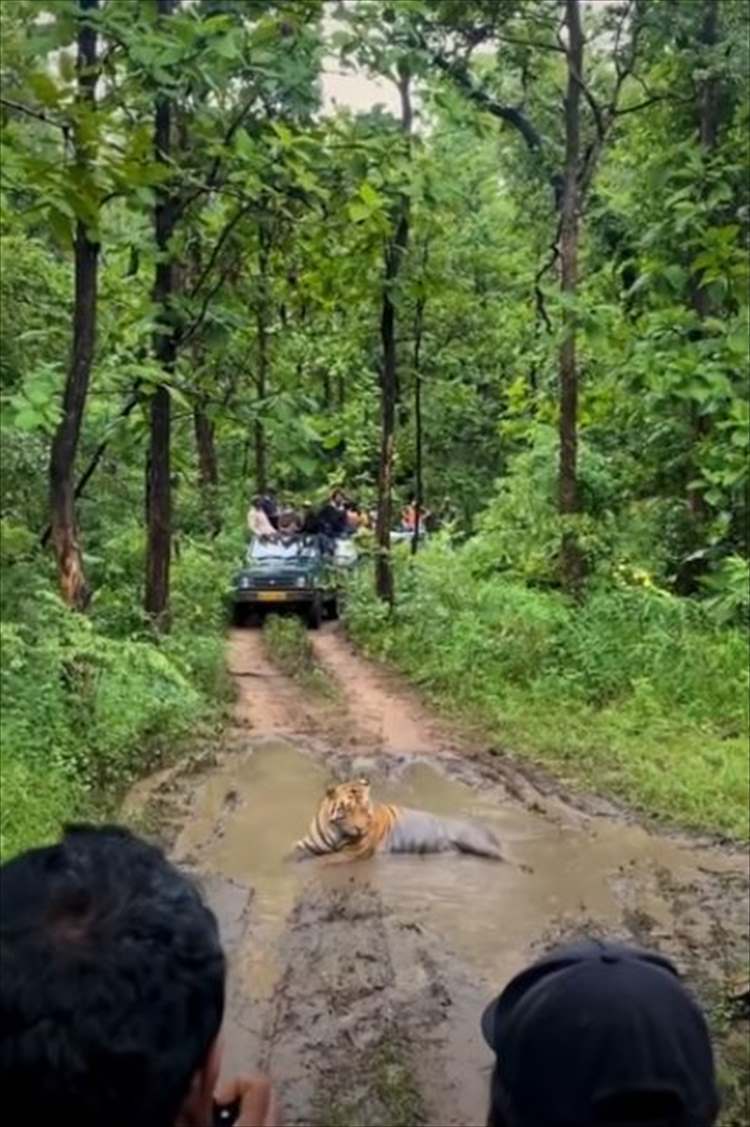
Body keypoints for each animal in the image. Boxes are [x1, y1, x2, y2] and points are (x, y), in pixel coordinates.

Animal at [293, 775, 503, 861]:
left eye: (365, 809)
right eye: (349, 810)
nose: (360, 829)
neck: (336, 831)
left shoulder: (351, 854)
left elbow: (323, 861)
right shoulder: (306, 845)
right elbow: (292, 857)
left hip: (478, 842)